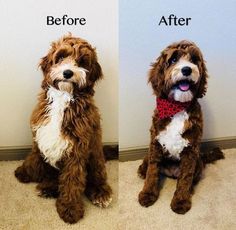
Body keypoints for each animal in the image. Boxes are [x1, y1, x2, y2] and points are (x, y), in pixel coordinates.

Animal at [14, 33, 112, 223]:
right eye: (60, 57)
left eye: (81, 61)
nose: (67, 72)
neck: (62, 97)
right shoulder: (40, 138)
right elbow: (35, 159)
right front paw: (25, 172)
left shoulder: (77, 149)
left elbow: (72, 180)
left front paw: (70, 208)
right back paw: (47, 187)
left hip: (95, 157)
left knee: (96, 178)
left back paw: (100, 194)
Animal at [137, 41, 224, 214]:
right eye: (173, 59)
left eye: (194, 60)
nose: (187, 69)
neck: (176, 106)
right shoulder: (155, 144)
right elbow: (152, 172)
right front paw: (148, 194)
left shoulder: (191, 150)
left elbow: (185, 178)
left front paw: (181, 201)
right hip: (149, 153)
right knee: (147, 166)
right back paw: (142, 171)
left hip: (198, 162)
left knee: (191, 178)